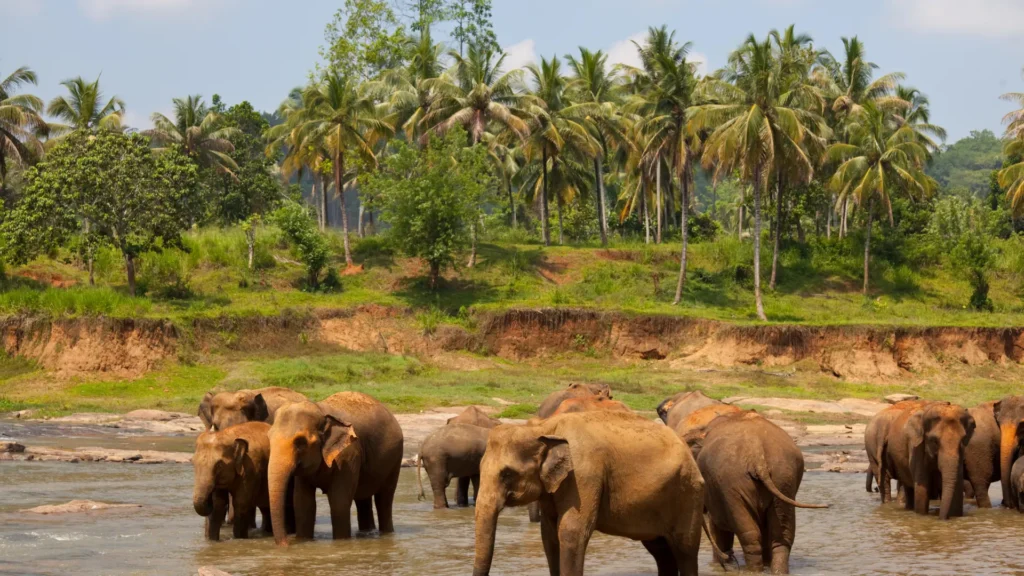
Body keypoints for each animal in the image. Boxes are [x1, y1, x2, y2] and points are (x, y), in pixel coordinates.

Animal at [267, 391, 404, 545]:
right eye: (269, 438)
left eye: (300, 442)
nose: (286, 543)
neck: (320, 409)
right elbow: (303, 504)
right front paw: (304, 541)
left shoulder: (348, 455)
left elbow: (339, 502)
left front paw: (341, 543)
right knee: (363, 499)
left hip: (395, 459)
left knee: (384, 499)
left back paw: (387, 535)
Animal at [472, 411, 707, 576]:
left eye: (507, 474)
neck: (545, 427)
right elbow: (549, 535)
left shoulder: (584, 475)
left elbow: (571, 531)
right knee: (661, 551)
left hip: (688, 493)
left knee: (685, 549)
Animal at [682, 410, 827, 574]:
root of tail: (758, 457)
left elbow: (718, 528)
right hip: (784, 478)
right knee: (781, 535)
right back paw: (776, 571)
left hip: (732, 483)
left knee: (749, 534)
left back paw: (753, 570)